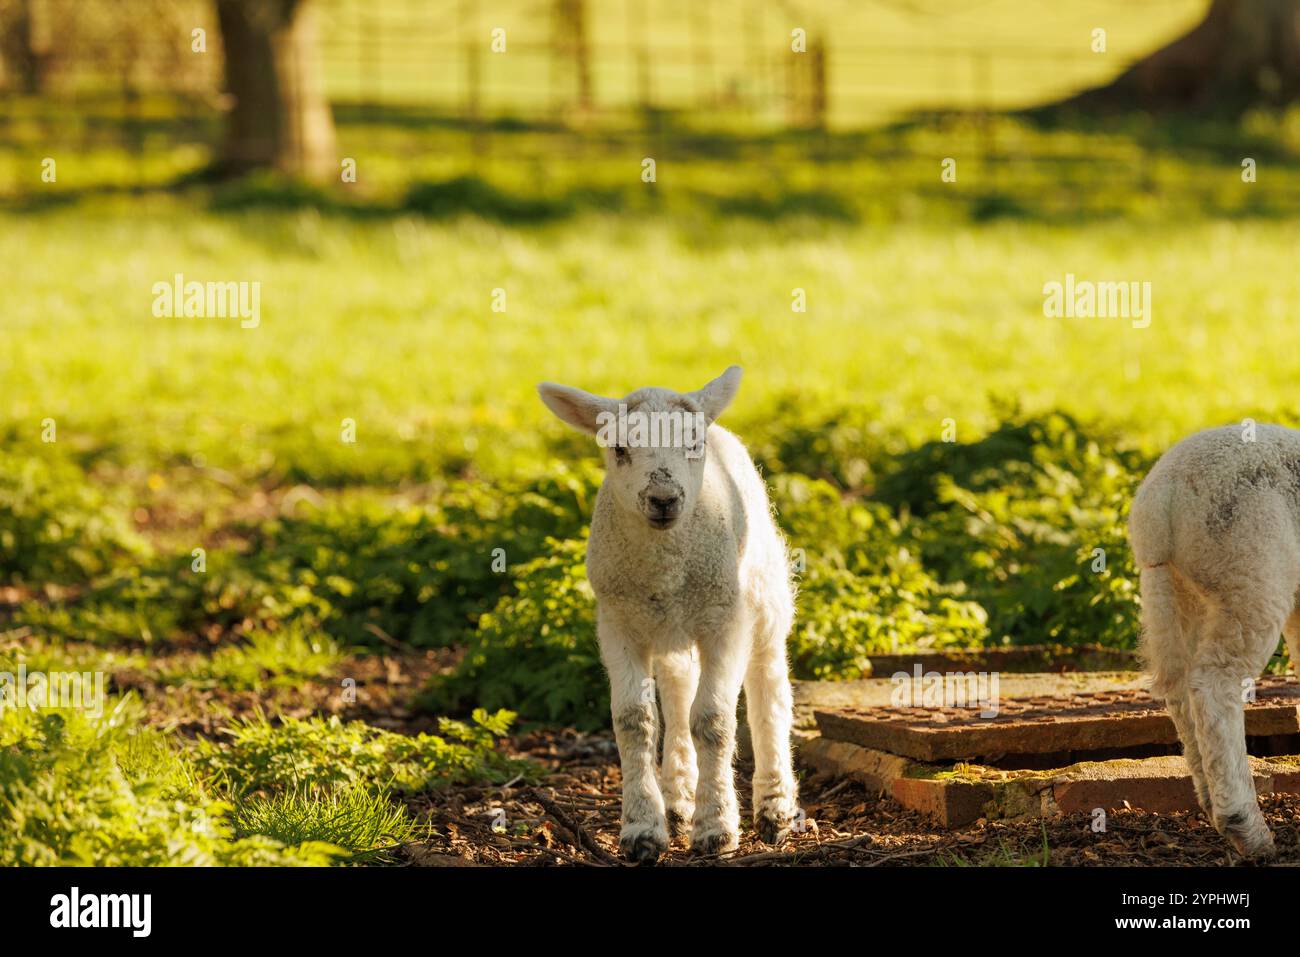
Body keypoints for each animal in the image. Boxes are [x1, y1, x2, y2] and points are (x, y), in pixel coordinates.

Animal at [537, 366, 799, 862]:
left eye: (693, 444)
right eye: (620, 448)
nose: (663, 498)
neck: (666, 564)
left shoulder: (725, 620)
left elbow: (713, 720)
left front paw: (717, 829)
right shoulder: (618, 621)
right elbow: (635, 720)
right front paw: (643, 829)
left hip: (764, 595)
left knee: (769, 688)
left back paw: (775, 806)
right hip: (668, 625)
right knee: (678, 689)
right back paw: (678, 799)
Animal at [1129, 422, 1300, 859]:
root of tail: (1162, 498)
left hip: (1177, 588)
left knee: (1180, 691)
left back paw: (1211, 801)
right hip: (1248, 564)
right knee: (1214, 684)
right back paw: (1247, 828)